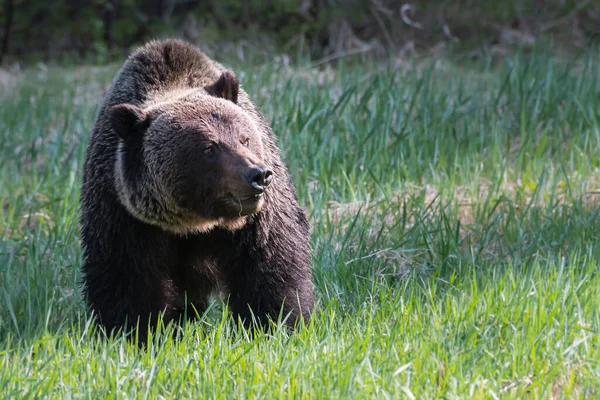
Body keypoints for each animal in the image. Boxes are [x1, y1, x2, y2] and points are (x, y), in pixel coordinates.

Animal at [79, 39, 314, 340]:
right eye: (209, 148)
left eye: (244, 138)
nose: (259, 175)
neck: (194, 223)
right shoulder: (125, 215)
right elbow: (127, 277)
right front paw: (134, 331)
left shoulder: (258, 220)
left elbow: (271, 265)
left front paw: (275, 324)